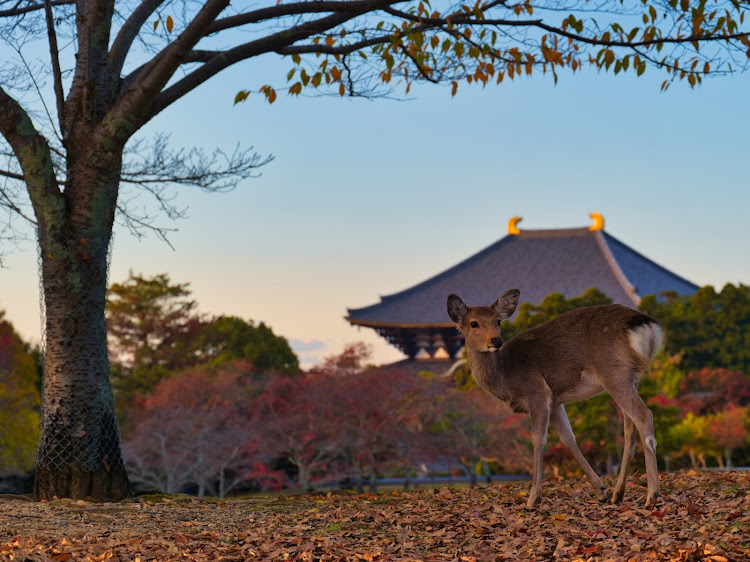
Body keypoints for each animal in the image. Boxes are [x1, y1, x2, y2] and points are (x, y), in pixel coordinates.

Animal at [446, 288, 664, 508]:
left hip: (613, 372)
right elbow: (568, 439)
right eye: (474, 323)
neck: (506, 376)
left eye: (498, 321)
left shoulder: (537, 392)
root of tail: (646, 326)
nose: (496, 341)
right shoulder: (556, 401)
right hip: (631, 377)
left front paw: (533, 498)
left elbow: (538, 439)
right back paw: (617, 494)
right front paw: (600, 491)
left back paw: (652, 496)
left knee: (644, 415)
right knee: (629, 428)